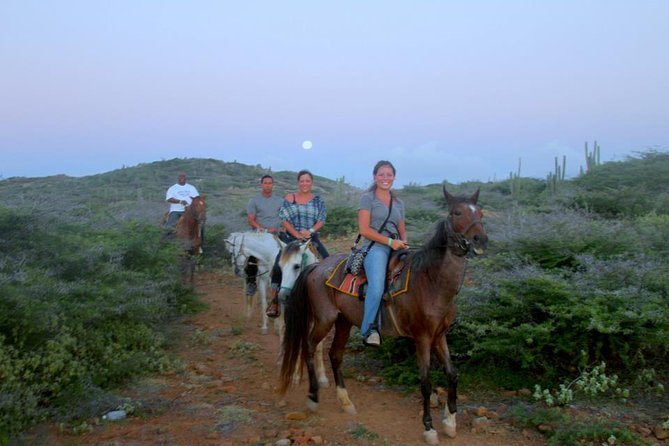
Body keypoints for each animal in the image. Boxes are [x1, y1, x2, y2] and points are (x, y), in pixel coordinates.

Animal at [276, 239, 328, 388]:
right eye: (280, 267)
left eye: (296, 266)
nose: (283, 296)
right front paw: (297, 375)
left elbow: (319, 345)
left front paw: (322, 377)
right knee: (282, 330)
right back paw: (282, 358)